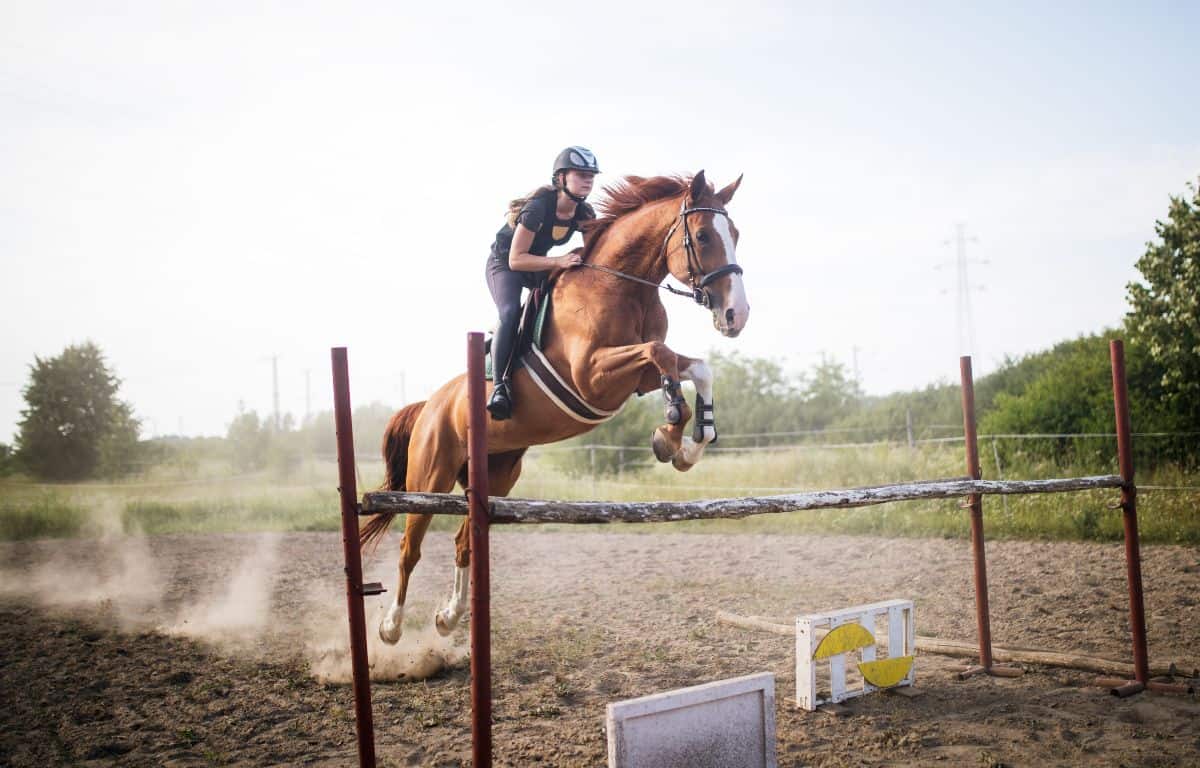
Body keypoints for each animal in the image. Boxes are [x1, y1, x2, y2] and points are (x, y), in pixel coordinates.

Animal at [362, 170, 748, 643]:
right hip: (430, 476)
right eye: (704, 235)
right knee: (409, 547)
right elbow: (660, 354)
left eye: (735, 234)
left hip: (496, 477)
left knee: (463, 542)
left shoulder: (632, 380)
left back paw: (448, 616)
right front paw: (671, 429)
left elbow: (692, 367)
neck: (620, 286)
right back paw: (391, 627)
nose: (736, 315)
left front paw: (685, 445)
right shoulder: (592, 376)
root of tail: (429, 405)